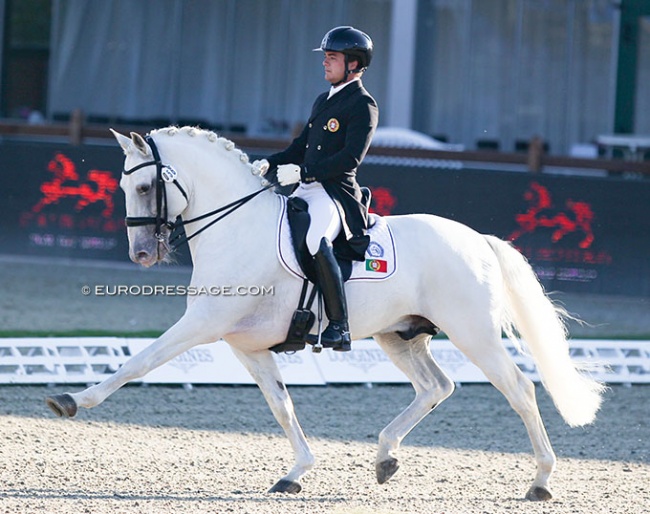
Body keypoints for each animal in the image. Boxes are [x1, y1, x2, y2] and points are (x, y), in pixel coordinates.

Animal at [46, 126, 604, 498]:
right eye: (124, 188)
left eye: (144, 188)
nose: (141, 254)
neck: (236, 226)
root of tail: (478, 240)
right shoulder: (246, 346)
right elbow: (282, 406)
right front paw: (296, 473)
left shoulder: (202, 325)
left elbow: (137, 362)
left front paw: (72, 399)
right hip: (399, 335)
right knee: (436, 387)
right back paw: (385, 458)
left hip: (473, 332)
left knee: (520, 389)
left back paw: (541, 481)